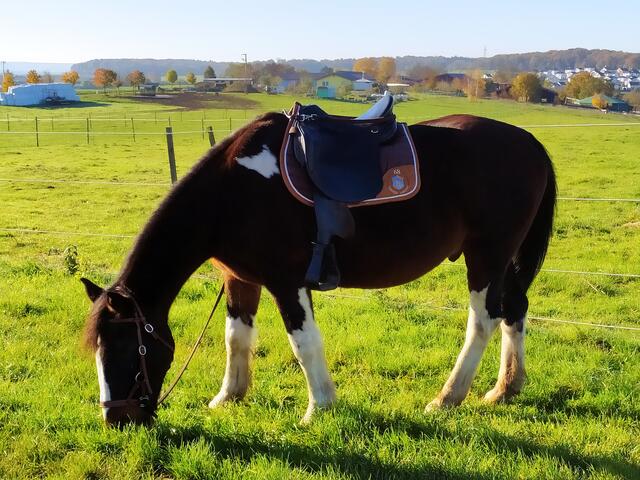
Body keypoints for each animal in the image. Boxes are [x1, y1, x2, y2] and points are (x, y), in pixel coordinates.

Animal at [81, 110, 556, 426]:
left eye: (125, 348)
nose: (117, 420)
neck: (232, 193)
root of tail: (529, 143)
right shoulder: (240, 279)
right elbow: (236, 337)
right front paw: (229, 396)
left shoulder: (287, 281)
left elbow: (304, 344)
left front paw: (320, 407)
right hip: (504, 259)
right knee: (515, 309)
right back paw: (506, 388)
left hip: (487, 255)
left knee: (483, 320)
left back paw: (449, 396)